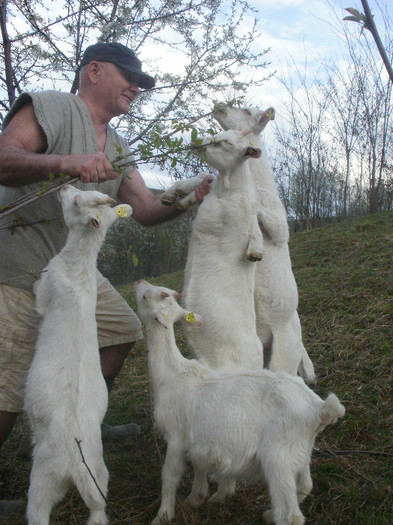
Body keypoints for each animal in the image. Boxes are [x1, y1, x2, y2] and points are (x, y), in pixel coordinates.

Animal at [24, 184, 132, 524]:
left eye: (74, 201)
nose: (63, 187)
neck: (79, 269)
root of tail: (77, 462)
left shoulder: (46, 291)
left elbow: (38, 295)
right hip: (99, 476)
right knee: (98, 512)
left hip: (43, 477)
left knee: (38, 512)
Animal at [135, 280, 344, 524]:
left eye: (146, 296)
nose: (139, 282)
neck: (172, 373)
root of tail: (318, 409)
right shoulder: (199, 436)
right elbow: (199, 464)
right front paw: (197, 497)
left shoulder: (176, 436)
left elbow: (169, 475)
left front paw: (163, 515)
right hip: (300, 451)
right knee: (305, 485)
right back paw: (269, 513)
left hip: (279, 458)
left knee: (291, 515)